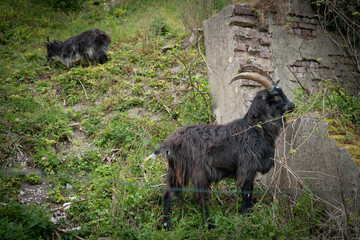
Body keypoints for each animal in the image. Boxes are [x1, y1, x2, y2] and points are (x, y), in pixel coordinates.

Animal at [146, 65, 296, 229]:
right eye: (275, 97)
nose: (292, 105)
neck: (253, 129)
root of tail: (170, 142)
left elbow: (250, 190)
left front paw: (249, 215)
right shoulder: (247, 167)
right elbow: (246, 192)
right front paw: (245, 217)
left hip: (175, 169)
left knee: (168, 193)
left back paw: (166, 224)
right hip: (197, 170)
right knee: (199, 196)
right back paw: (209, 224)